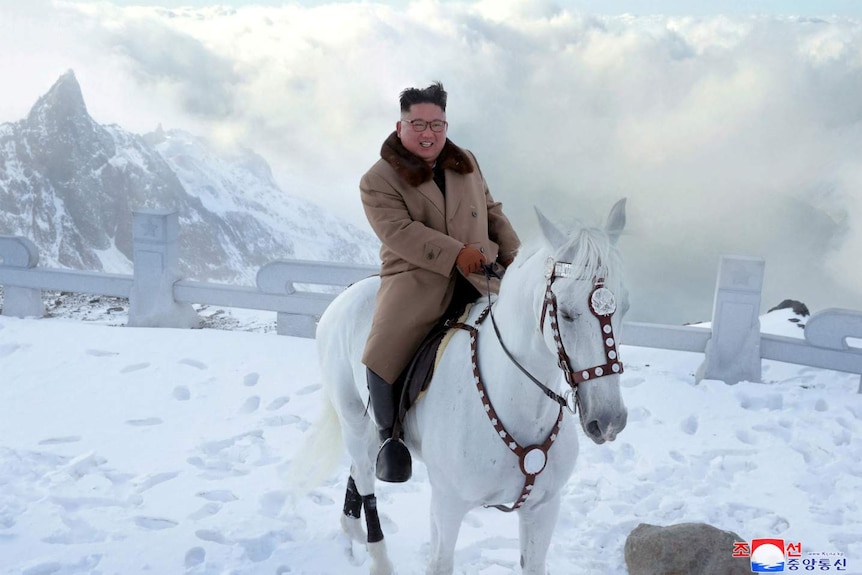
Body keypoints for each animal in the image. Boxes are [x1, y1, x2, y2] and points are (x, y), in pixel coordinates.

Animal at [308, 199, 632, 575]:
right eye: (565, 313)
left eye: (625, 308)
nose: (609, 420)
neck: (520, 404)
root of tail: (346, 293)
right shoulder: (448, 506)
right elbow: (440, 563)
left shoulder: (543, 508)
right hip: (353, 419)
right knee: (363, 474)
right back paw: (378, 557)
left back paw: (351, 528)